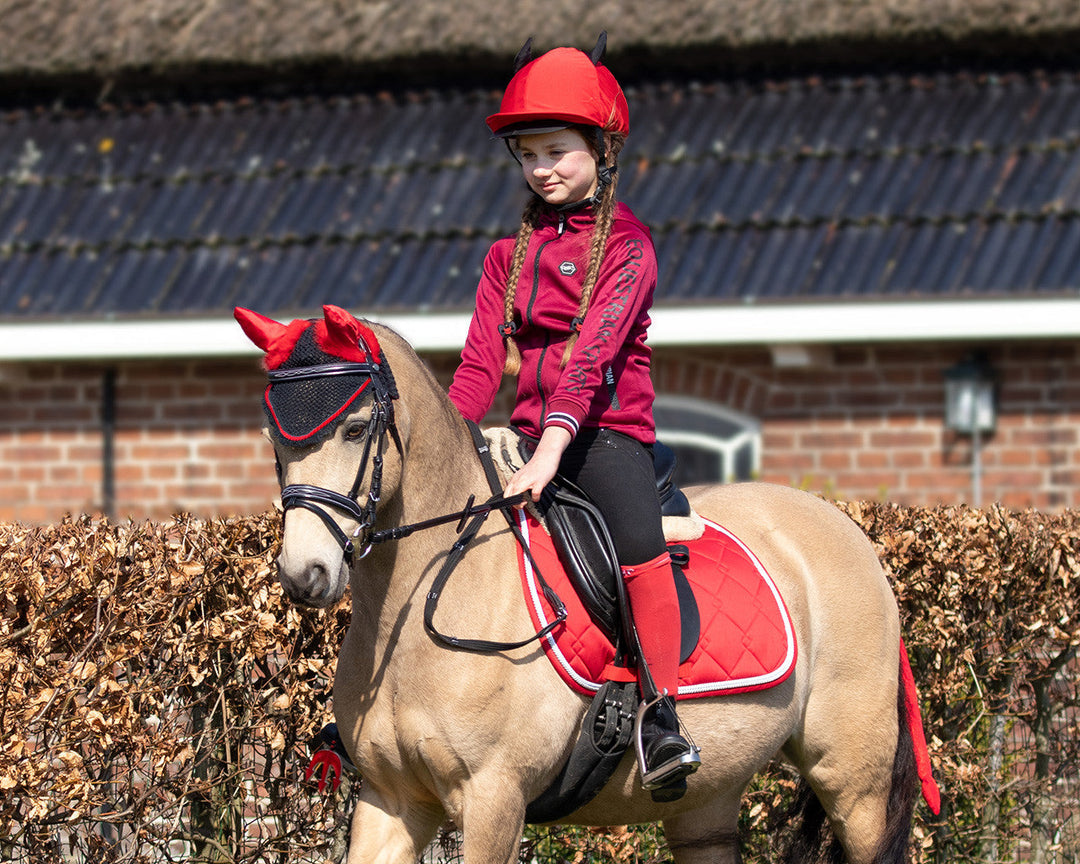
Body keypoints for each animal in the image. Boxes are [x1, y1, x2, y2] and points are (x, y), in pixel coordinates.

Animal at [236, 304, 937, 864]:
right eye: (273, 436)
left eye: (355, 428)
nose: (304, 575)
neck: (417, 610)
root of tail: (850, 532)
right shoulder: (390, 802)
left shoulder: (493, 799)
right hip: (707, 805)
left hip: (853, 780)